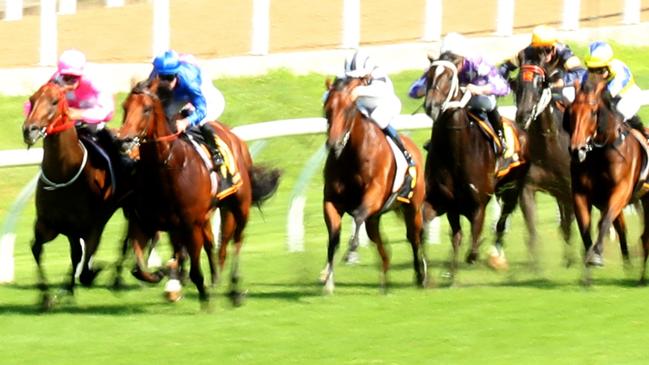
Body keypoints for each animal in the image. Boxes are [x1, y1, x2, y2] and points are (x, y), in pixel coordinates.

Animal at [21, 81, 128, 308]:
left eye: (54, 101)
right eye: (32, 99)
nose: (29, 130)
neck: (64, 172)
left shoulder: (92, 225)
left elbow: (86, 266)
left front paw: (93, 273)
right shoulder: (49, 224)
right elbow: (37, 249)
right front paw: (47, 296)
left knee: (126, 240)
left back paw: (117, 278)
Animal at [117, 80, 278, 308]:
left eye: (146, 109)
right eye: (125, 106)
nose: (123, 141)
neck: (167, 168)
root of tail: (236, 138)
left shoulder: (190, 224)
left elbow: (194, 269)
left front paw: (203, 297)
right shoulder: (145, 222)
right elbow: (139, 268)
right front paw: (161, 274)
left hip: (239, 206)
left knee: (235, 241)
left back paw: (234, 289)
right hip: (208, 214)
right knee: (215, 244)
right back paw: (213, 278)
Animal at [320, 77, 430, 292]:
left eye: (348, 109)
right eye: (327, 109)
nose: (333, 144)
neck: (351, 156)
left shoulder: (374, 194)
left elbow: (358, 215)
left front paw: (351, 249)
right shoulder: (331, 200)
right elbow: (333, 236)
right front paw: (327, 277)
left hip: (413, 207)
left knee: (414, 237)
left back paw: (421, 274)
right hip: (375, 219)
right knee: (383, 247)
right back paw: (385, 280)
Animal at [422, 52, 528, 278]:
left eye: (448, 77)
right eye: (428, 76)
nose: (431, 106)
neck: (455, 153)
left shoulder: (478, 205)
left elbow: (472, 248)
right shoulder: (441, 201)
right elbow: (433, 230)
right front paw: (431, 272)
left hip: (512, 188)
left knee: (501, 222)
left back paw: (497, 256)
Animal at [564, 72, 644, 282]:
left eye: (593, 112)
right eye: (571, 112)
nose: (576, 149)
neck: (601, 154)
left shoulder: (621, 191)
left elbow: (604, 221)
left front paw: (597, 255)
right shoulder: (580, 194)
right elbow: (585, 231)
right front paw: (587, 274)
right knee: (622, 228)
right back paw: (629, 265)